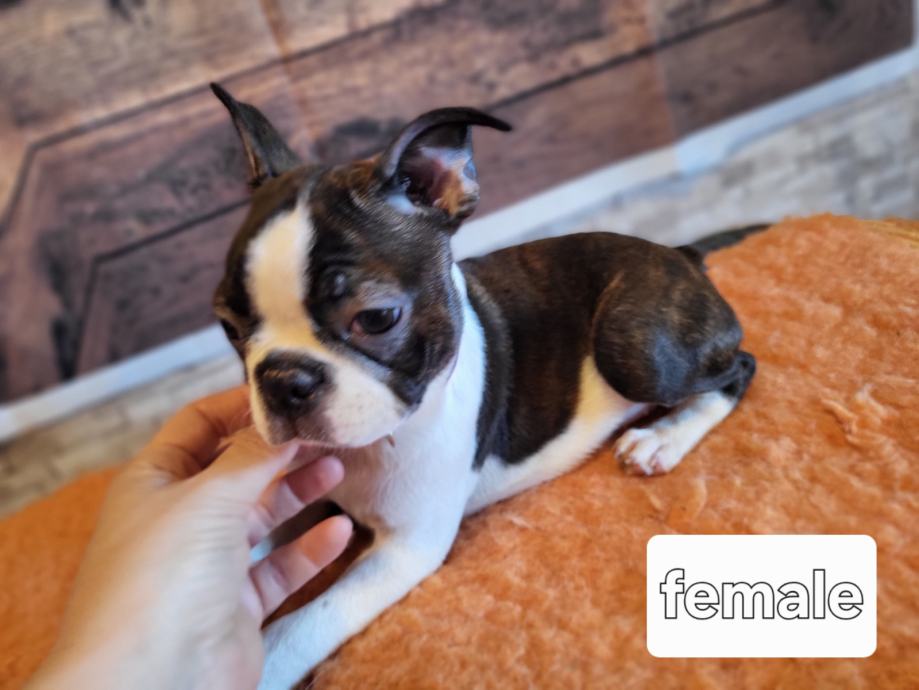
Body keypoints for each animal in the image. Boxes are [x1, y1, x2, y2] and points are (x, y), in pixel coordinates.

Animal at [210, 83, 756, 689]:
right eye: (229, 328)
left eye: (375, 319)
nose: (284, 379)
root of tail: (679, 255)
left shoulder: (406, 550)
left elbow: (301, 625)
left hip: (634, 349)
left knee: (739, 368)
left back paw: (664, 437)